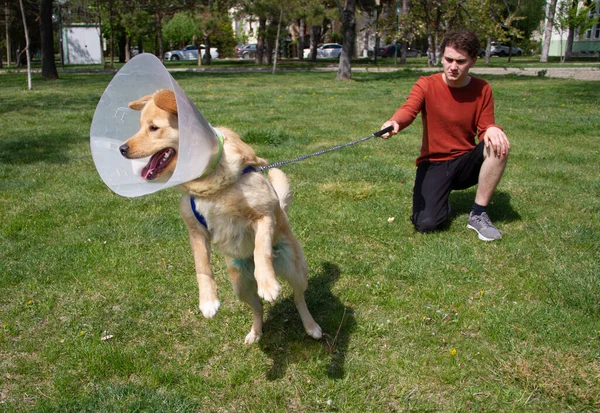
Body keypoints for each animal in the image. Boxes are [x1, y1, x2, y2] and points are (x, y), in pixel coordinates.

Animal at [118, 88, 324, 342]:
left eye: (153, 127)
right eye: (139, 126)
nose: (121, 149)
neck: (208, 181)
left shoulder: (263, 215)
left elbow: (261, 248)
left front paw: (268, 284)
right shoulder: (196, 231)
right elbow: (202, 267)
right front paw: (208, 302)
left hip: (296, 271)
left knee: (298, 298)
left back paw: (311, 326)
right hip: (240, 285)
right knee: (257, 307)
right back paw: (255, 333)